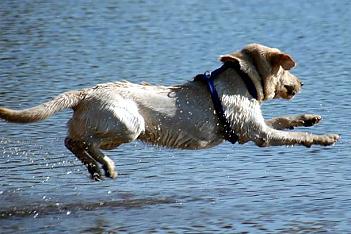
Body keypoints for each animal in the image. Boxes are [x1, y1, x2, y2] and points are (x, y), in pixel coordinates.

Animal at [0, 43, 340, 179]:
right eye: (287, 69)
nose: (302, 83)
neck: (242, 80)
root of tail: (86, 92)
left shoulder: (252, 128)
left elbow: (285, 120)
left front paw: (309, 118)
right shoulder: (260, 135)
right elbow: (294, 137)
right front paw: (324, 138)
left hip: (102, 128)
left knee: (71, 141)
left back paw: (94, 169)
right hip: (129, 126)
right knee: (88, 143)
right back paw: (106, 165)